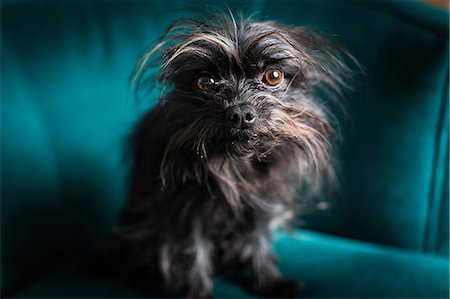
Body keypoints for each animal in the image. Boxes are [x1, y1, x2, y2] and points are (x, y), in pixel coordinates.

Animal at [114, 10, 354, 298]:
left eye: (273, 75)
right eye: (206, 82)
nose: (240, 113)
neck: (237, 163)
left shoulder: (260, 203)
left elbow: (259, 242)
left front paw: (270, 283)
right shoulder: (184, 210)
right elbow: (192, 251)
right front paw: (199, 293)